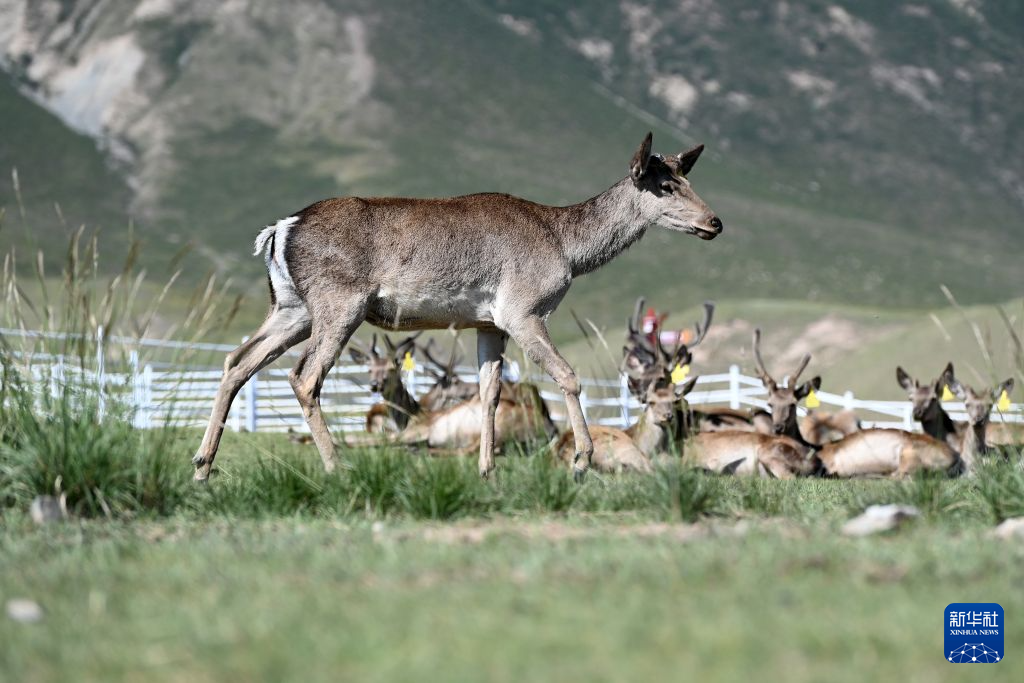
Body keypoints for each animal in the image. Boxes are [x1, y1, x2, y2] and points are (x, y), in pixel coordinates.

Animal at [191, 132, 722, 481]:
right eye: (665, 185)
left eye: (687, 177)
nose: (715, 222)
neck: (567, 248)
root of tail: (279, 230)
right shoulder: (523, 309)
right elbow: (568, 376)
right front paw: (581, 460)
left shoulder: (489, 324)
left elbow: (489, 392)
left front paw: (488, 471)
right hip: (338, 303)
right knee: (303, 376)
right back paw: (338, 467)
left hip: (291, 307)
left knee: (237, 359)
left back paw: (202, 465)